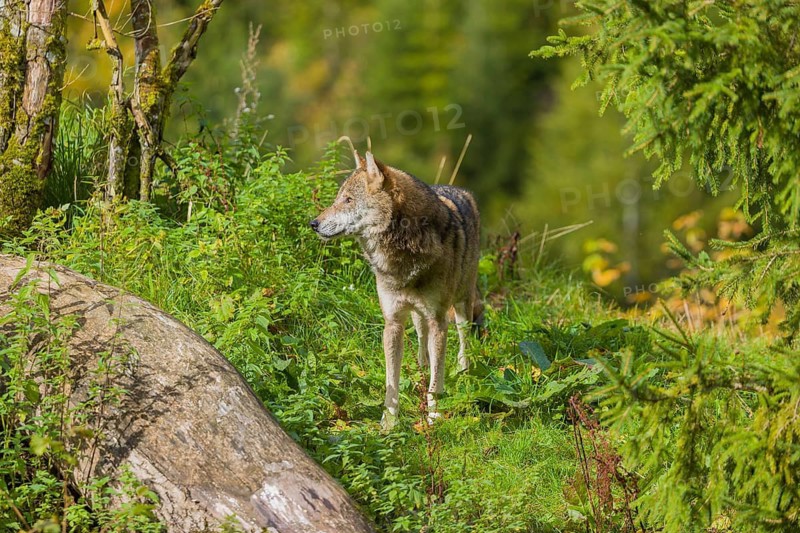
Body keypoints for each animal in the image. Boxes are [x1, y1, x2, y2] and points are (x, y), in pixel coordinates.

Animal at [310, 150, 481, 430]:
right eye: (338, 198)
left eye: (348, 200)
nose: (313, 223)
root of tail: (458, 189)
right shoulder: (392, 322)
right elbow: (392, 380)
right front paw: (389, 422)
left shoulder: (438, 320)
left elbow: (437, 379)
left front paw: (434, 416)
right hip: (417, 316)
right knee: (422, 344)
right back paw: (422, 370)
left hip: (461, 305)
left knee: (463, 340)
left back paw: (462, 371)